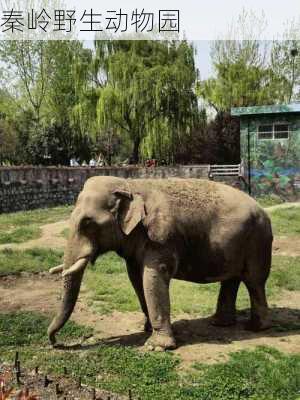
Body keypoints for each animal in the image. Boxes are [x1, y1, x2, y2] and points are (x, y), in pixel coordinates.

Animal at [47, 177, 274, 350]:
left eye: (88, 223)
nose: (56, 342)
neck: (130, 185)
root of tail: (262, 209)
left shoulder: (161, 237)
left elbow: (153, 278)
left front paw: (156, 347)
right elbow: (136, 278)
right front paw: (146, 329)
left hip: (258, 241)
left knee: (254, 281)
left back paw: (255, 328)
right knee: (232, 279)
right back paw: (219, 324)